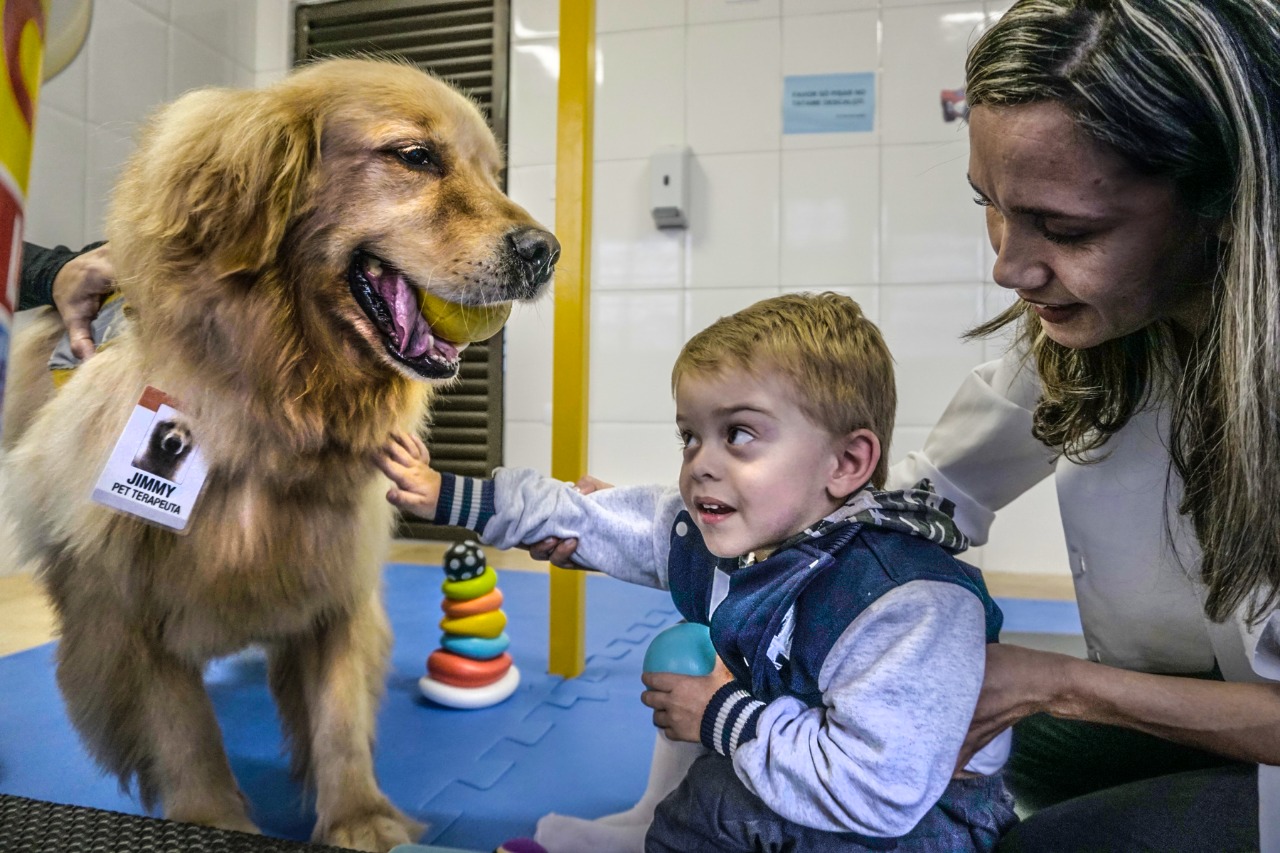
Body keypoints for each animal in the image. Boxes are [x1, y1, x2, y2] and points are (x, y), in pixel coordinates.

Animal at [3, 56, 555, 845]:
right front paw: (211, 819)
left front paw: (359, 817)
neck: (278, 409)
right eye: (415, 156)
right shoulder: (125, 604)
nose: (548, 253)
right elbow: (182, 729)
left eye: (490, 172)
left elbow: (338, 717)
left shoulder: (333, 580)